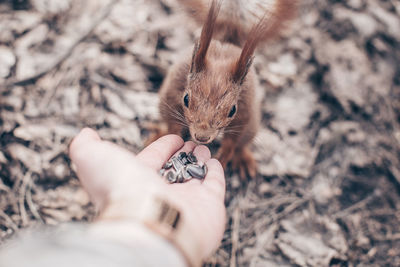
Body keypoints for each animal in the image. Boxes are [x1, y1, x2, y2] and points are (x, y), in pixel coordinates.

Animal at [148, 0, 296, 180]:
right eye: (186, 99)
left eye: (232, 110)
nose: (202, 137)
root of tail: (227, 41)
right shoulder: (172, 93)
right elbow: (172, 123)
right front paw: (173, 133)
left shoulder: (244, 108)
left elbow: (234, 138)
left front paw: (225, 155)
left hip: (252, 127)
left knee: (241, 144)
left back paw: (243, 158)